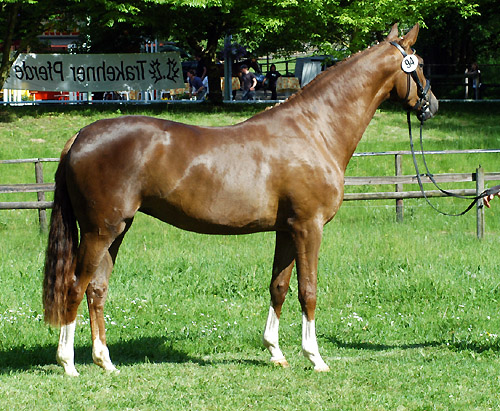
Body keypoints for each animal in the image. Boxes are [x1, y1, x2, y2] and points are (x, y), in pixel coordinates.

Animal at [45, 23, 440, 376]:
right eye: (419, 63)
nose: (431, 105)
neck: (314, 129)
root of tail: (80, 136)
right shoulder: (309, 227)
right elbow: (308, 290)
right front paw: (315, 357)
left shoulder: (287, 230)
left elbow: (279, 287)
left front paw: (276, 352)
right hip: (99, 231)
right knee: (75, 287)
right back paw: (68, 364)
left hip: (116, 229)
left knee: (97, 289)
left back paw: (105, 361)